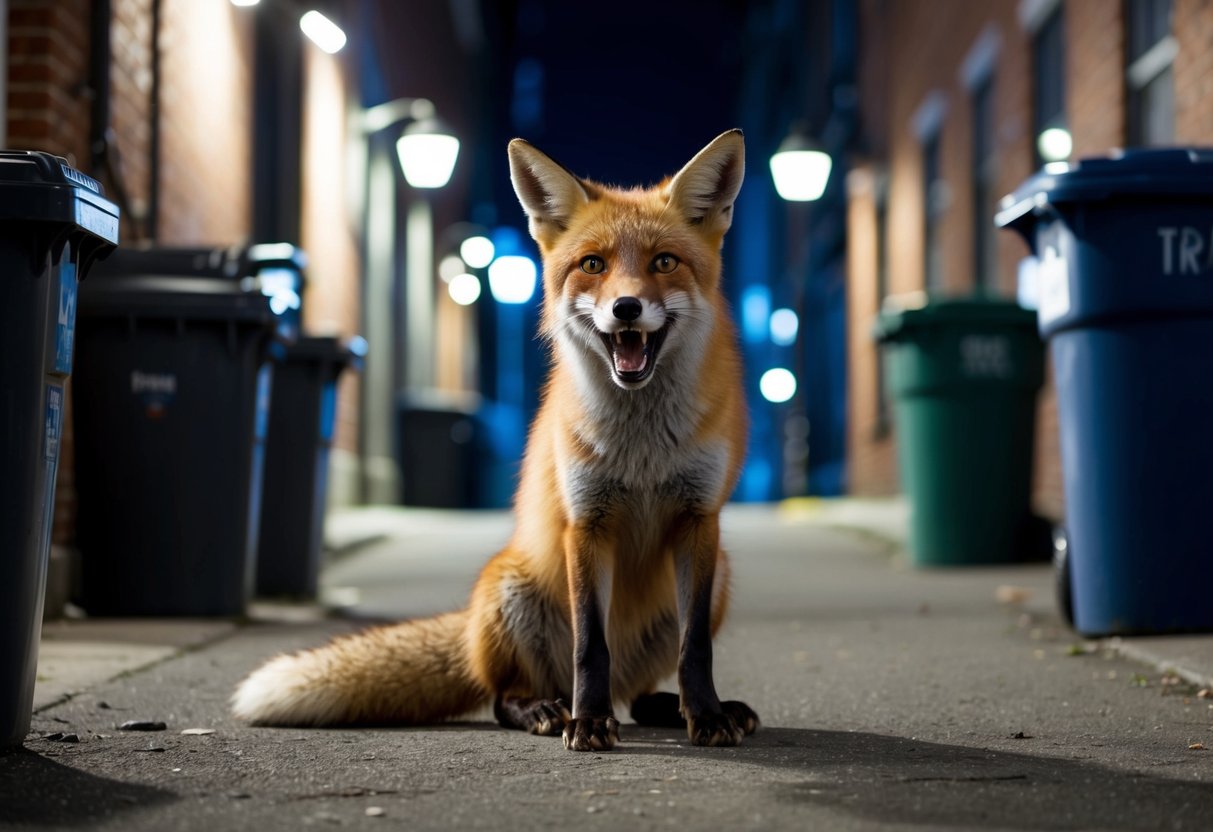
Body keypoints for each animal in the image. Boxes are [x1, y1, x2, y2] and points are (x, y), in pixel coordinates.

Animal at [232, 129, 757, 751]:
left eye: (665, 262)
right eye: (594, 265)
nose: (626, 307)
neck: (643, 450)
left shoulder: (700, 519)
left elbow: (694, 649)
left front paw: (707, 714)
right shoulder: (586, 521)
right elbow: (590, 648)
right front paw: (588, 721)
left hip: (719, 573)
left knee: (642, 689)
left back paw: (671, 707)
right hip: (511, 591)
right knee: (507, 695)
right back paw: (549, 710)